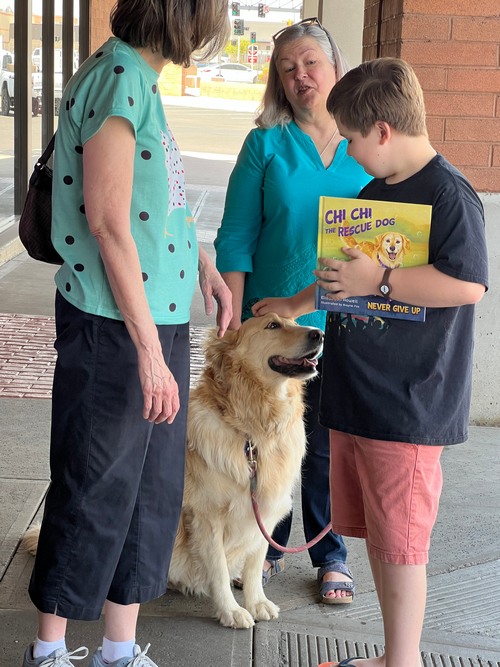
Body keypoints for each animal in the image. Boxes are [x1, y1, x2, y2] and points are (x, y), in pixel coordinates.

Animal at [21, 314, 324, 630]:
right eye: (272, 325)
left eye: (296, 322)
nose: (320, 334)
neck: (253, 430)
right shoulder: (207, 517)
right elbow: (217, 568)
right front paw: (230, 610)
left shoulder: (263, 511)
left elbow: (254, 565)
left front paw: (256, 602)